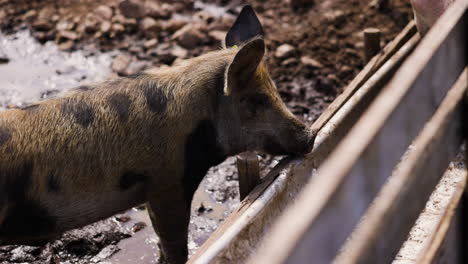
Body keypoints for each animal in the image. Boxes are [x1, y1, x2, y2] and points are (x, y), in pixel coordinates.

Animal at [0, 4, 316, 264]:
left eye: (275, 90)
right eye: (258, 100)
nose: (310, 134)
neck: (198, 121)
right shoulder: (167, 182)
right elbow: (174, 243)